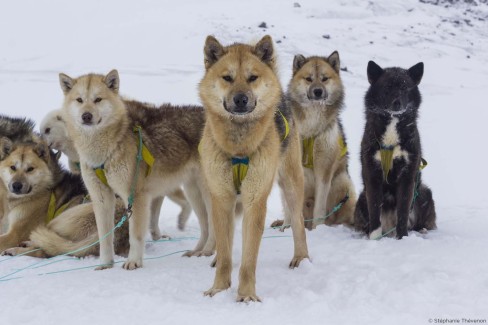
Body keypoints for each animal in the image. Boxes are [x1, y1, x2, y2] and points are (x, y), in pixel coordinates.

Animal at [352, 60, 436, 238]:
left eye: (405, 88)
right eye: (387, 87)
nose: (397, 103)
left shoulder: (407, 177)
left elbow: (403, 212)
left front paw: (402, 238)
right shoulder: (372, 175)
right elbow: (374, 211)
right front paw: (374, 239)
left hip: (424, 193)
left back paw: (422, 230)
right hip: (362, 197)